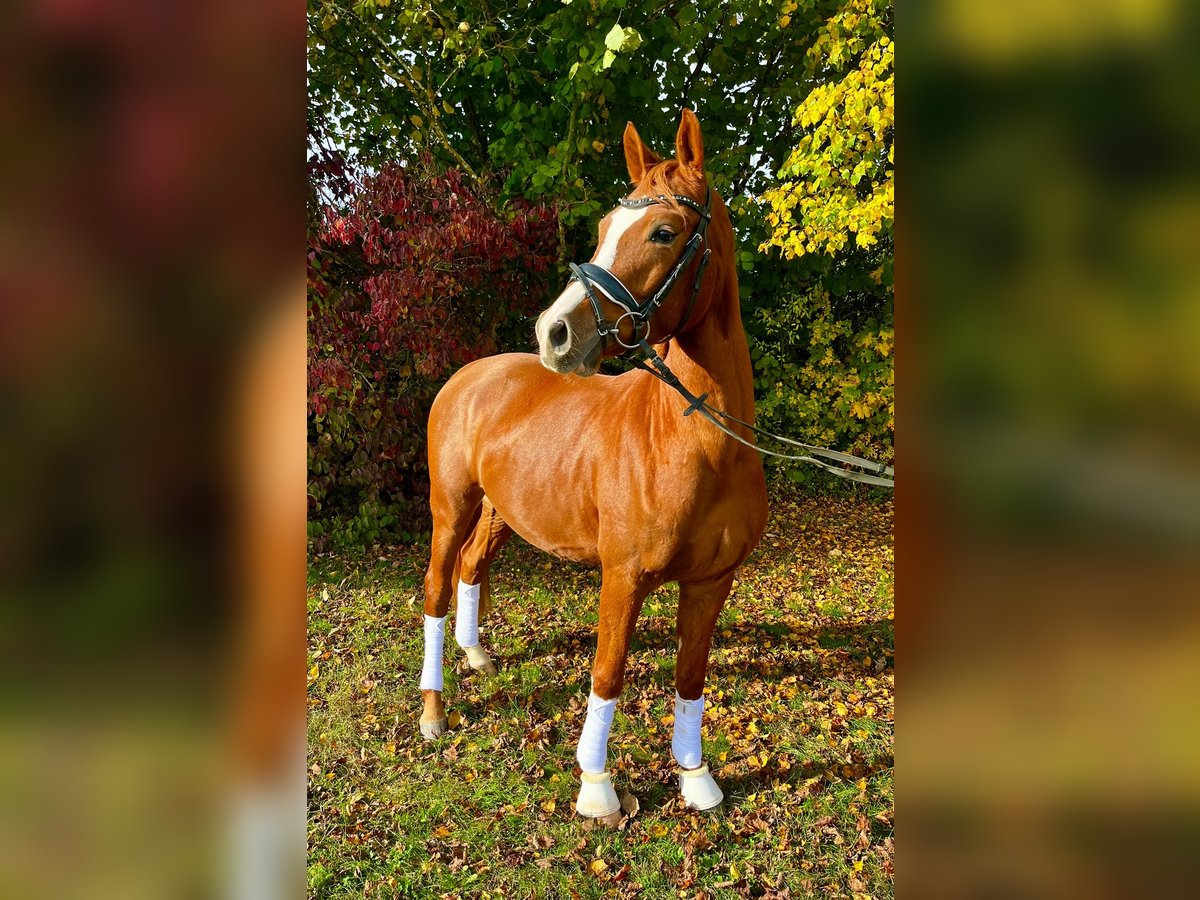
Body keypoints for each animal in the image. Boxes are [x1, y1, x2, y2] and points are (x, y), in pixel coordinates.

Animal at [417, 109, 763, 820]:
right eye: (604, 229)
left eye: (664, 231)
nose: (555, 332)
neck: (696, 445)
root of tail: (466, 377)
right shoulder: (622, 577)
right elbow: (607, 673)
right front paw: (597, 787)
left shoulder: (713, 580)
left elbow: (691, 676)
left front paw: (695, 777)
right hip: (451, 507)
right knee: (436, 587)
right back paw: (434, 712)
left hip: (500, 512)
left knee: (471, 567)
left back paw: (476, 654)